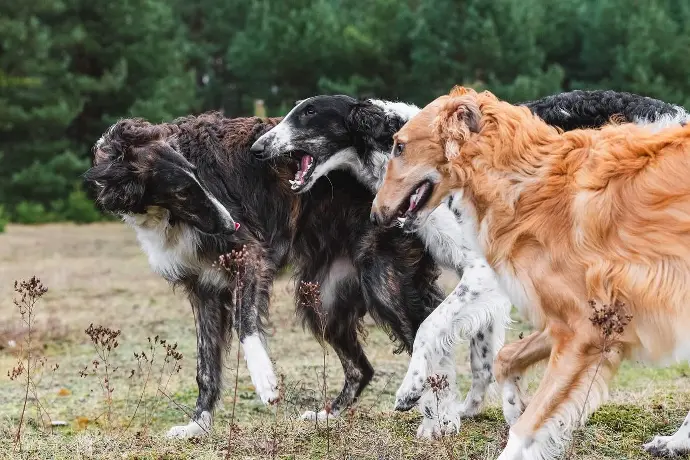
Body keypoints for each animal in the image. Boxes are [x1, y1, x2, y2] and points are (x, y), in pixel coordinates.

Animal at [370, 85, 688, 456]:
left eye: (399, 146)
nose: (375, 214)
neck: (528, 181)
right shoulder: (573, 322)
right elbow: (504, 358)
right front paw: (512, 404)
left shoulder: (582, 330)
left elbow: (524, 428)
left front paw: (412, 387)